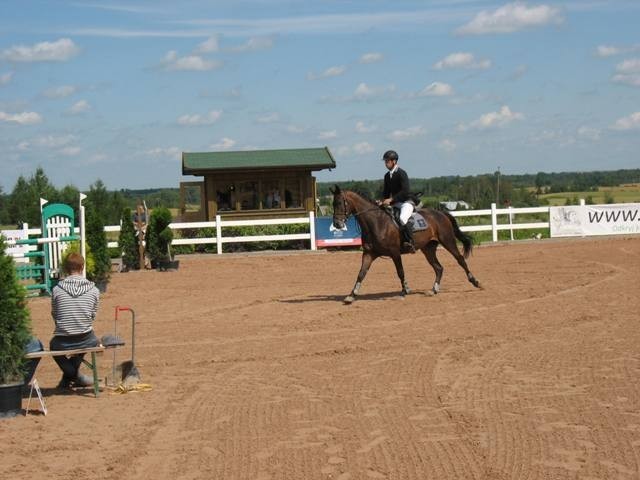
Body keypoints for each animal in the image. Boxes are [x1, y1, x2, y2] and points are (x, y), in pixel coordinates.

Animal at [330, 185, 480, 304]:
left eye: (340, 203)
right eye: (333, 204)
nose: (337, 224)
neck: (376, 222)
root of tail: (441, 213)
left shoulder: (395, 253)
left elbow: (400, 272)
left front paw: (404, 291)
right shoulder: (369, 253)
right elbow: (361, 273)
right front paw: (351, 295)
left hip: (448, 241)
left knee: (460, 259)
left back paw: (475, 282)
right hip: (428, 248)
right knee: (438, 267)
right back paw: (433, 290)